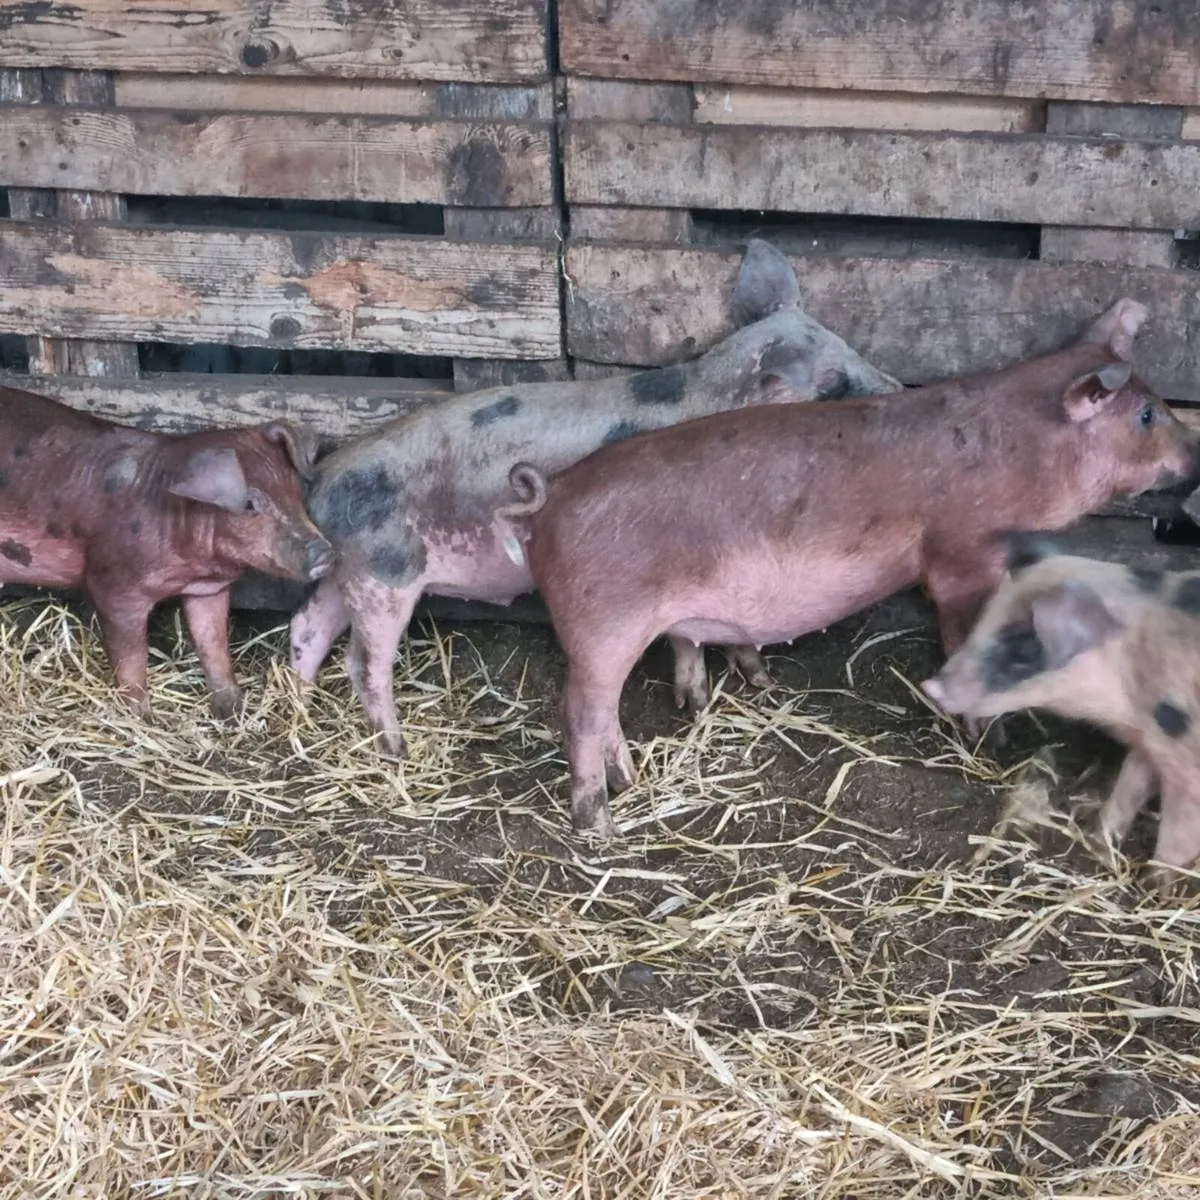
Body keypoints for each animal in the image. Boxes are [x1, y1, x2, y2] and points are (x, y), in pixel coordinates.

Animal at [0, 386, 334, 717]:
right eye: (249, 504)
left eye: (294, 491)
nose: (325, 553)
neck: (191, 566)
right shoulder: (114, 590)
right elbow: (131, 661)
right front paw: (141, 718)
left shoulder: (208, 590)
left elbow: (213, 645)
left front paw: (232, 710)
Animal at [290, 239, 900, 755]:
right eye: (831, 383)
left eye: (850, 346)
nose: (898, 390)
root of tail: (319, 480)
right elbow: (687, 635)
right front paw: (698, 703)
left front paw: (759, 680)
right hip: (386, 574)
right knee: (364, 663)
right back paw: (395, 748)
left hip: (350, 573)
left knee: (306, 627)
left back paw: (302, 703)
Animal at [497, 298, 1200, 836]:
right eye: (1145, 415)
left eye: (1161, 404)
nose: (1196, 450)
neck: (1026, 449)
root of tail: (549, 498)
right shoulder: (962, 555)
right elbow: (962, 627)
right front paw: (992, 741)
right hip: (601, 627)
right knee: (581, 714)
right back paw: (599, 824)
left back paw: (633, 780)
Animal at [923, 534, 1200, 896]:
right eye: (983, 619)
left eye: (1024, 648)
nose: (930, 686)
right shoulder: (1152, 740)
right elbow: (1129, 786)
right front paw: (1095, 846)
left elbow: (1180, 828)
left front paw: (1151, 888)